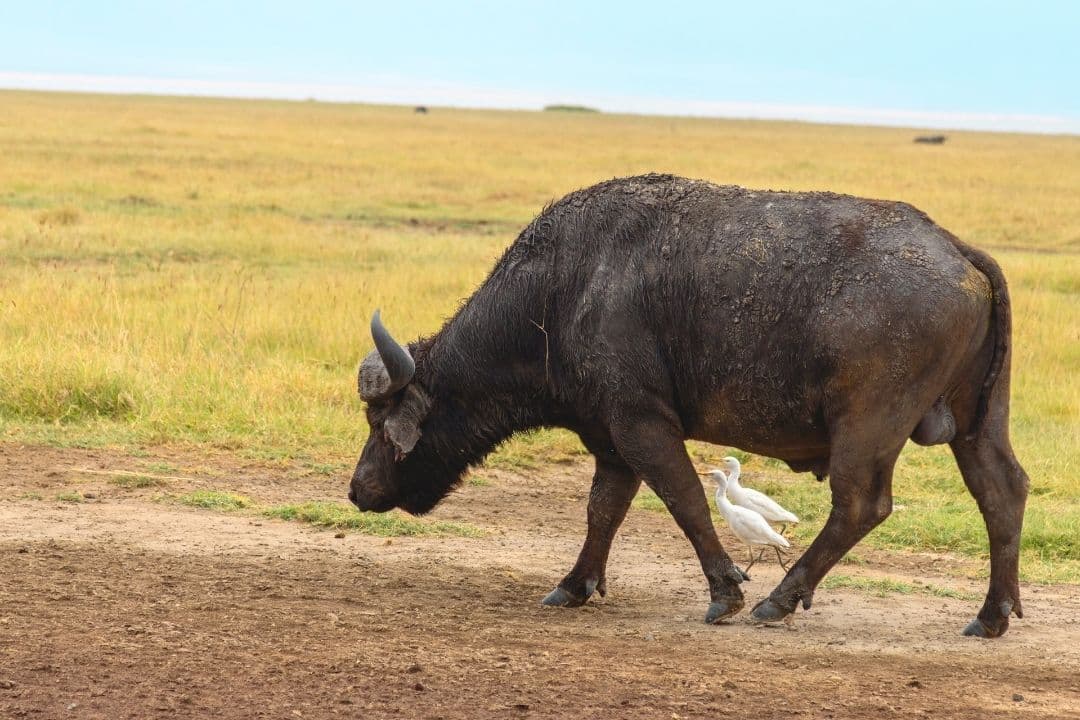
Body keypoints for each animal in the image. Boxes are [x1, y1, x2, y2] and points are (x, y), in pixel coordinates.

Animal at [349, 174, 1028, 637]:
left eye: (380, 423)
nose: (358, 490)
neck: (563, 288)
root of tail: (955, 249)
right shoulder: (611, 439)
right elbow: (602, 512)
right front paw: (574, 585)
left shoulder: (642, 423)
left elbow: (686, 500)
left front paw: (726, 591)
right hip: (976, 424)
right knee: (1002, 492)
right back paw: (992, 615)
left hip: (867, 426)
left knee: (861, 505)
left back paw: (779, 598)